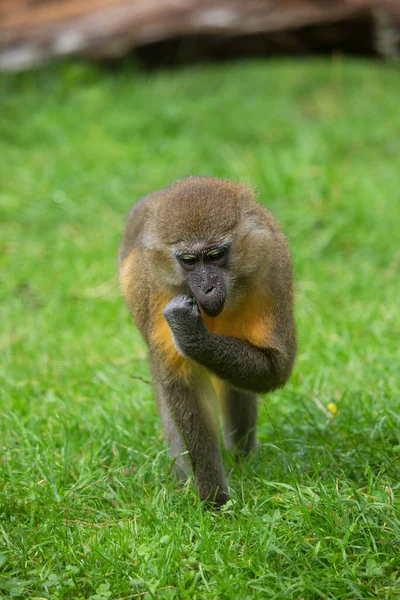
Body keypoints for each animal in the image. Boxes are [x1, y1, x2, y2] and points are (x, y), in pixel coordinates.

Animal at [119, 175, 296, 506]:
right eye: (189, 260)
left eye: (215, 256)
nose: (207, 287)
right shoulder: (158, 287)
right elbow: (181, 385)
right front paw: (214, 498)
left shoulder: (271, 267)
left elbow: (276, 369)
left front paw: (193, 336)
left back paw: (243, 462)